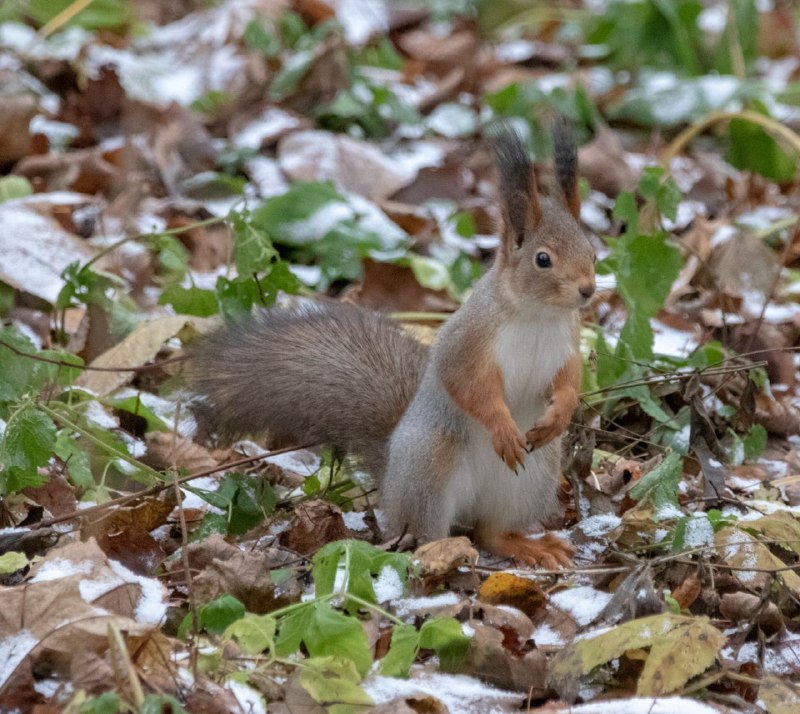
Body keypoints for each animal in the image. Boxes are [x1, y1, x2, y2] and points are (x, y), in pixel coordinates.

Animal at [192, 122, 592, 568]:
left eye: (592, 249)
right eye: (543, 259)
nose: (588, 290)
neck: (537, 316)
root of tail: (391, 485)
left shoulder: (567, 343)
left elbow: (570, 379)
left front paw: (561, 413)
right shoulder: (468, 340)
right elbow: (466, 383)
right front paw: (502, 427)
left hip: (533, 477)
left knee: (491, 532)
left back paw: (526, 545)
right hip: (430, 463)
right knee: (424, 534)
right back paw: (443, 550)